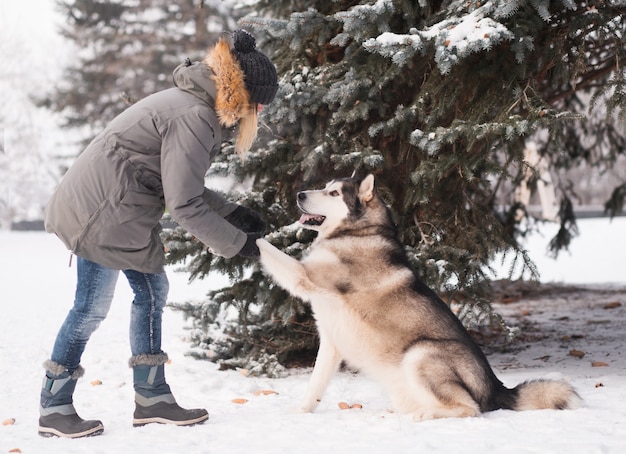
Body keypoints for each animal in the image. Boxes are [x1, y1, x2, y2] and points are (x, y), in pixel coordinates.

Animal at [255, 175, 580, 422]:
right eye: (324, 186)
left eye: (333, 193)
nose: (299, 194)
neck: (359, 231)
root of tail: (496, 387)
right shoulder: (331, 343)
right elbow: (314, 386)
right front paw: (301, 411)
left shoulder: (303, 274)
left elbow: (267, 249)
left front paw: (252, 231)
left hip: (420, 354)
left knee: (470, 409)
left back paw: (426, 415)